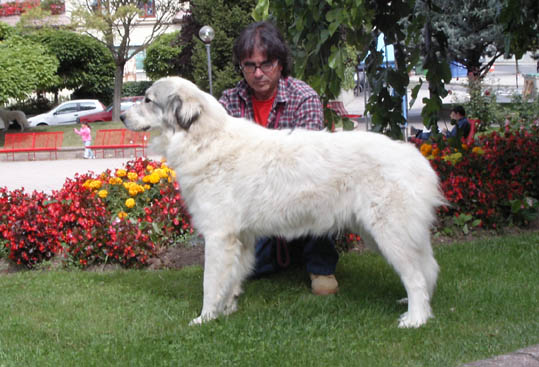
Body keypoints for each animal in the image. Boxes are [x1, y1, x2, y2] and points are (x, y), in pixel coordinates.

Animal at [123, 76, 448, 330]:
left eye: (148, 100)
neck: (203, 140)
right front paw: (226, 311)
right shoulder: (239, 238)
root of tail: (417, 158)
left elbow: (210, 283)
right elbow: (230, 279)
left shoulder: (218, 236)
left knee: (416, 276)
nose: (123, 117)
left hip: (389, 234)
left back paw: (416, 318)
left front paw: (204, 318)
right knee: (428, 269)